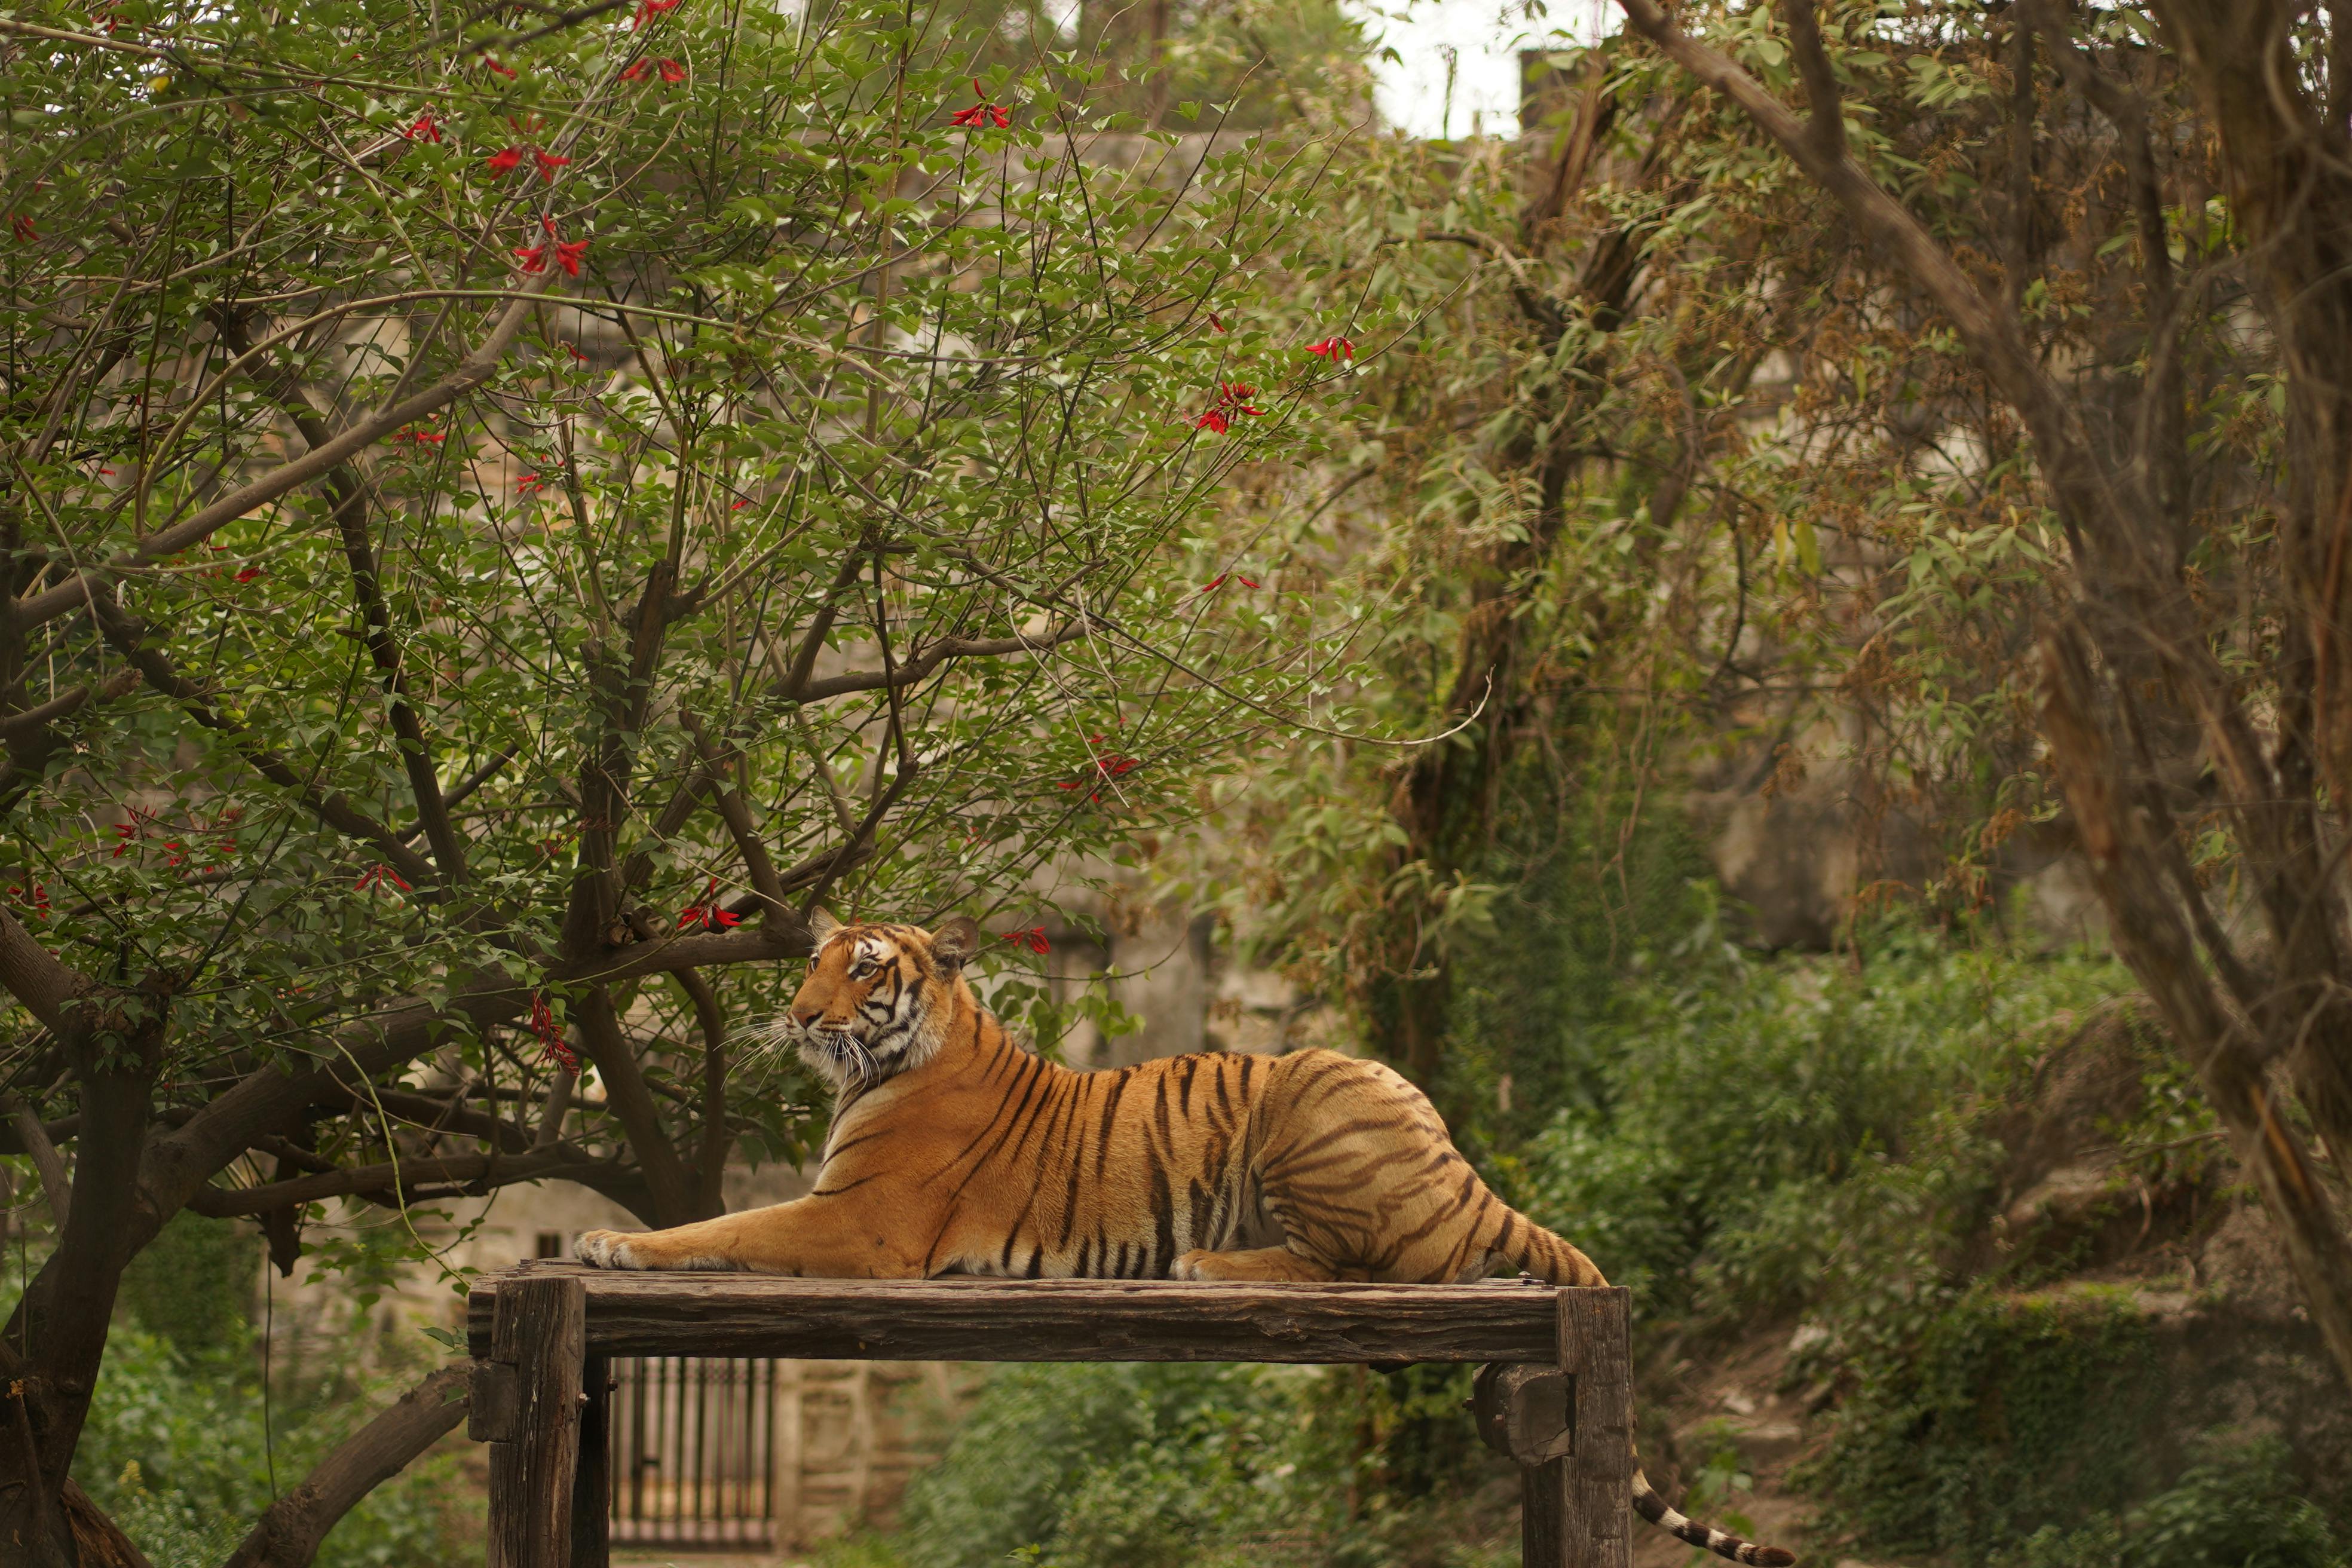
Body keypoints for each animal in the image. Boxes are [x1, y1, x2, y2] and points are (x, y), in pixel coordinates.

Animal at [576, 911, 1797, 1567]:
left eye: (865, 965)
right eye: (817, 961)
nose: (797, 1015)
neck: (901, 1056)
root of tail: (1452, 1151)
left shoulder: (859, 1219)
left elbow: (730, 1222)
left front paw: (607, 1246)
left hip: (1306, 1093)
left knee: (1359, 1265)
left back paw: (1206, 1262)